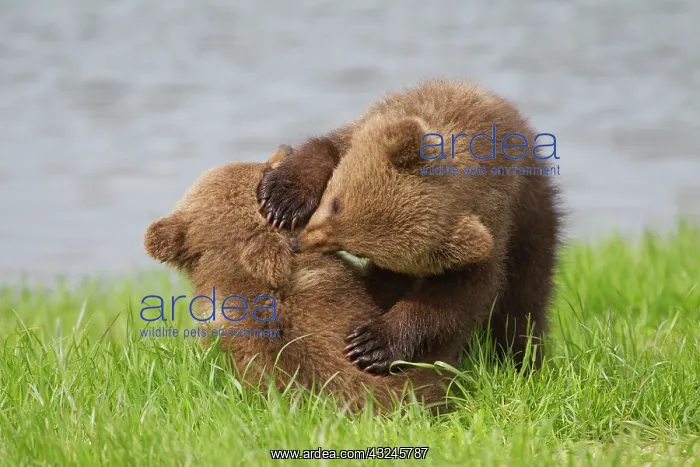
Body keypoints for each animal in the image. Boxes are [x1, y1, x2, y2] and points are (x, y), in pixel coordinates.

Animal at [257, 79, 563, 375]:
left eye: (359, 249)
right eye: (335, 204)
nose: (299, 244)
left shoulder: (494, 221)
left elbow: (458, 295)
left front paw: (372, 344)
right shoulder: (373, 125)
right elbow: (326, 148)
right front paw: (281, 200)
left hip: (534, 227)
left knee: (523, 305)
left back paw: (523, 362)